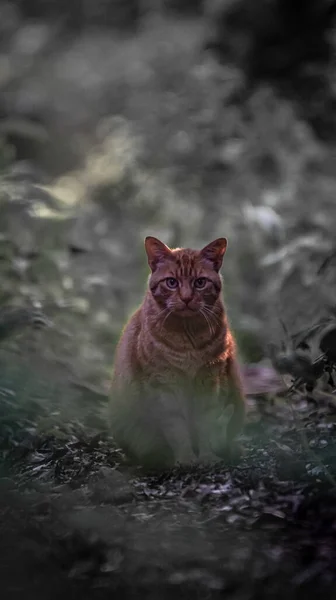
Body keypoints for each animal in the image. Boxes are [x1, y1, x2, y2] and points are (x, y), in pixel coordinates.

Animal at [109, 236, 245, 468]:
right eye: (171, 282)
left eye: (200, 282)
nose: (187, 298)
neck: (188, 335)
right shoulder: (163, 383)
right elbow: (176, 427)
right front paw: (186, 458)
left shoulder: (209, 380)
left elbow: (205, 422)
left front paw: (207, 456)